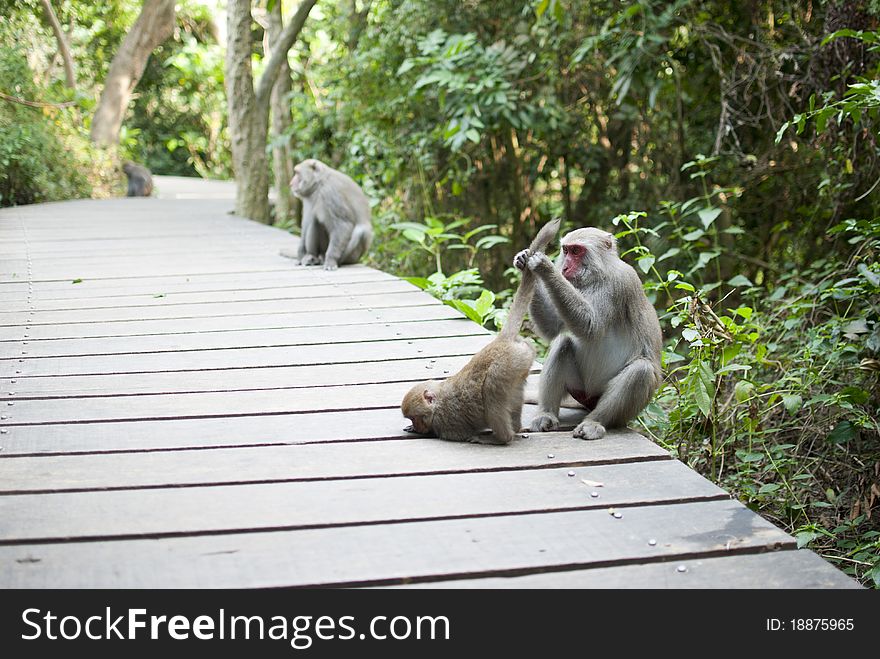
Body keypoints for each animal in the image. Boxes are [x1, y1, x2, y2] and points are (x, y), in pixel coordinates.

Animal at [400, 219, 560, 446]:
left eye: (416, 417)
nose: (417, 425)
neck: (438, 401)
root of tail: (501, 340)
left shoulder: (445, 420)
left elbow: (451, 432)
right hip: (522, 359)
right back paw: (515, 428)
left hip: (508, 364)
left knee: (492, 389)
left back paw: (501, 438)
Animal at [516, 228, 660, 444]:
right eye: (566, 250)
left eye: (576, 251)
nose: (565, 266)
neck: (598, 274)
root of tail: (588, 399)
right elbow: (553, 328)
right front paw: (523, 258)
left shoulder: (618, 285)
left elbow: (590, 327)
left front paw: (543, 266)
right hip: (579, 389)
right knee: (563, 342)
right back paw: (546, 414)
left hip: (623, 408)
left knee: (640, 370)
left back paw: (594, 422)